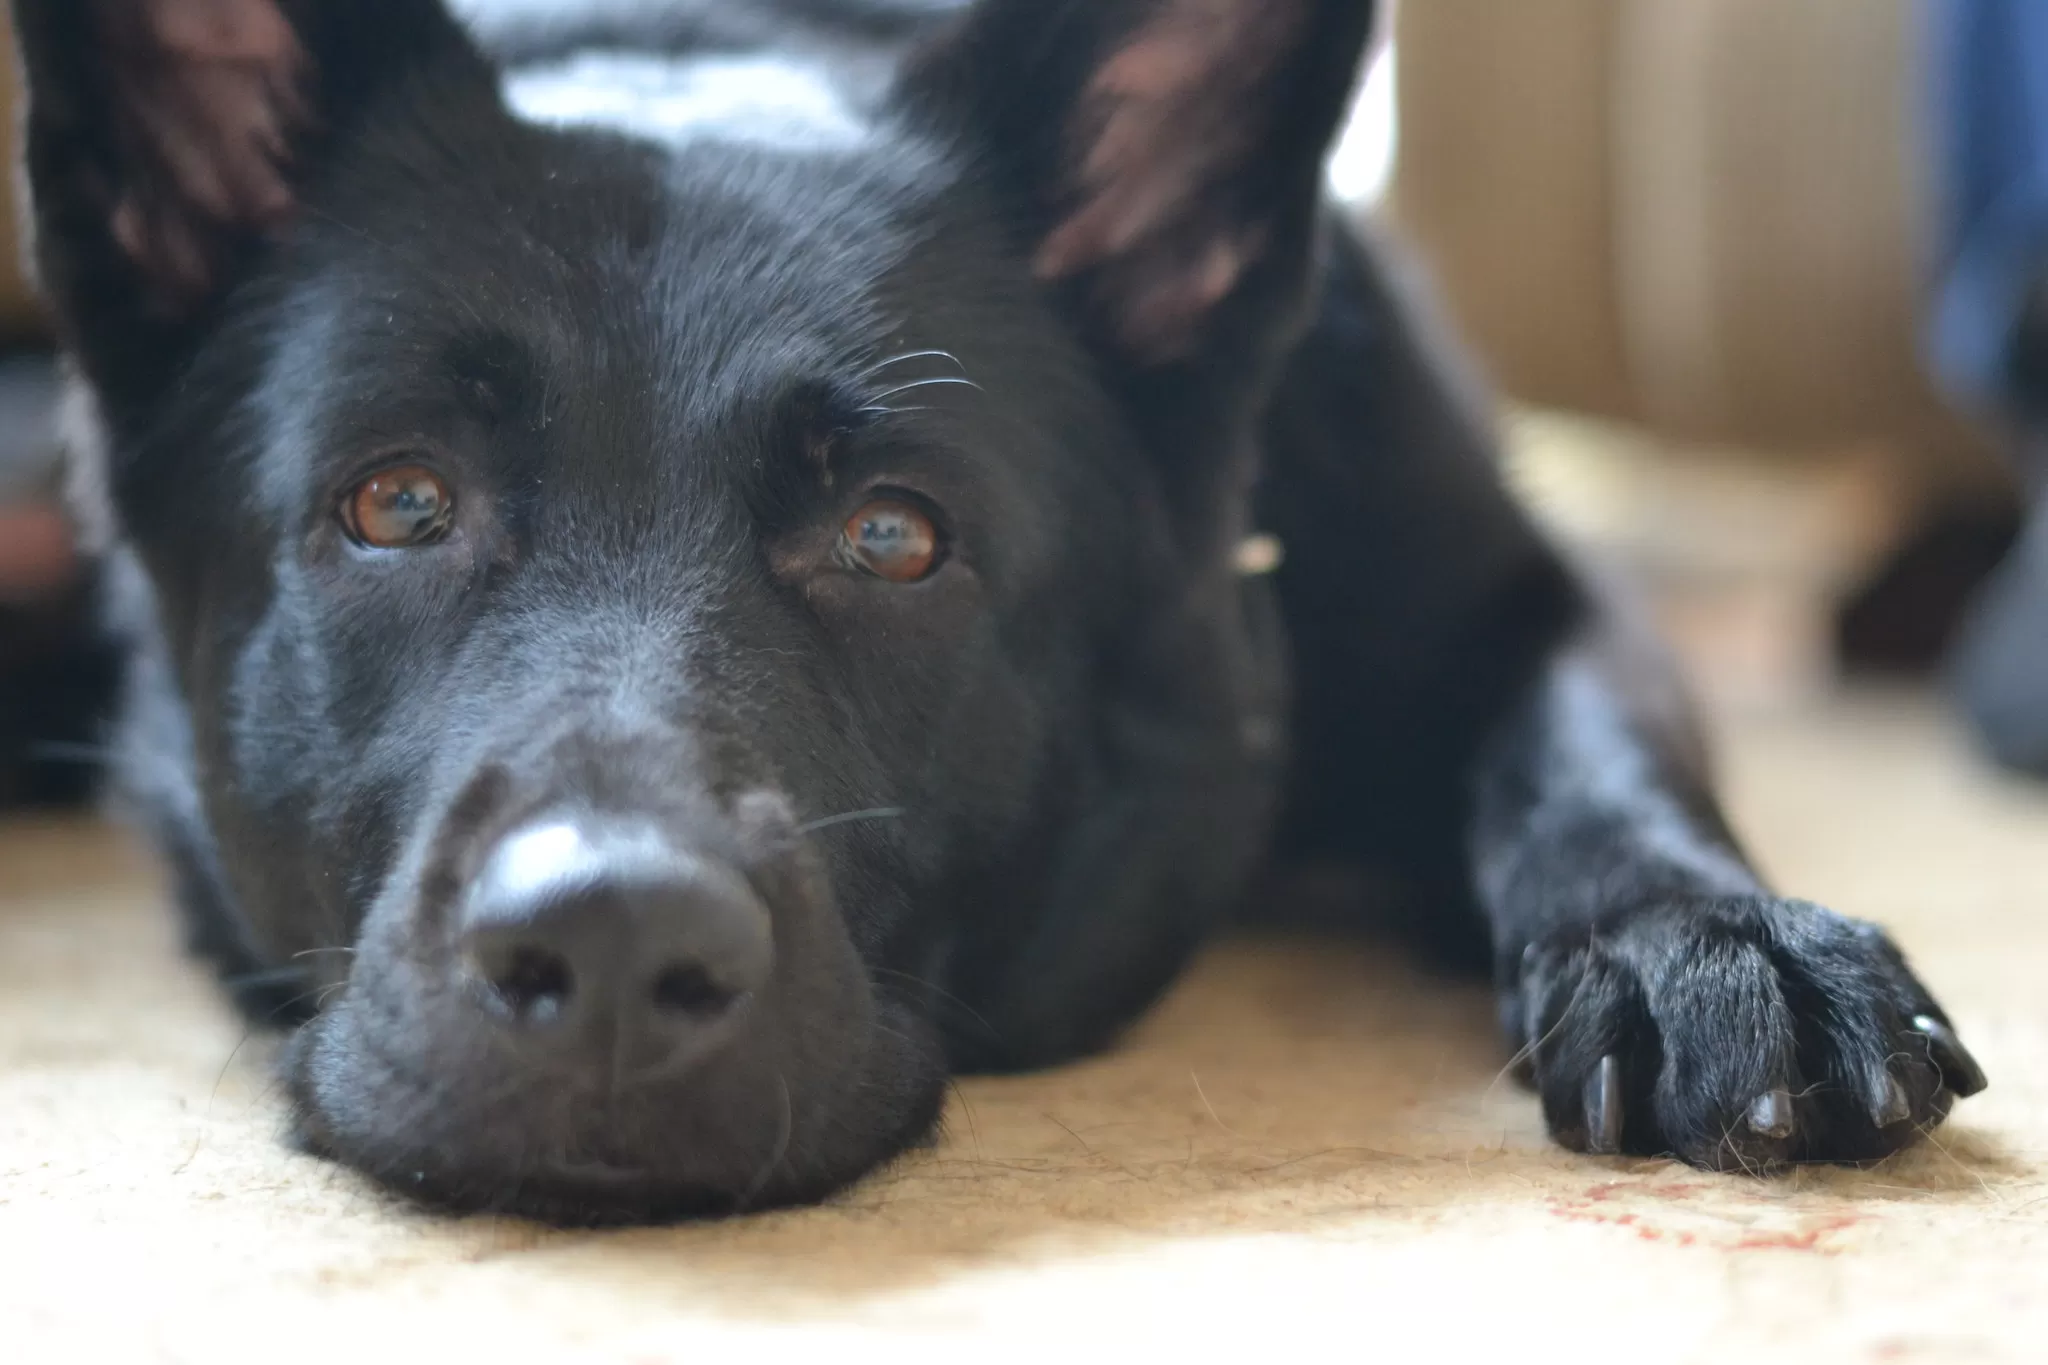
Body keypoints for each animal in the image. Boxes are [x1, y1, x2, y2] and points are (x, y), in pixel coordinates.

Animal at [8, 0, 1990, 1219]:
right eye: (400, 504)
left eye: (893, 537)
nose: (615, 950)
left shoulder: (1516, 589)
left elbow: (1584, 747)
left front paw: (1710, 939)